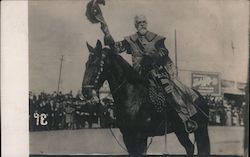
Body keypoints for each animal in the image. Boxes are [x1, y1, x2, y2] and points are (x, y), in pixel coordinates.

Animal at [82, 39, 211, 156]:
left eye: (95, 63)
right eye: (86, 64)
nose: (85, 92)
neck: (133, 97)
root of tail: (200, 96)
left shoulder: (140, 136)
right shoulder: (127, 136)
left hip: (201, 129)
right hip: (180, 131)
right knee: (189, 147)